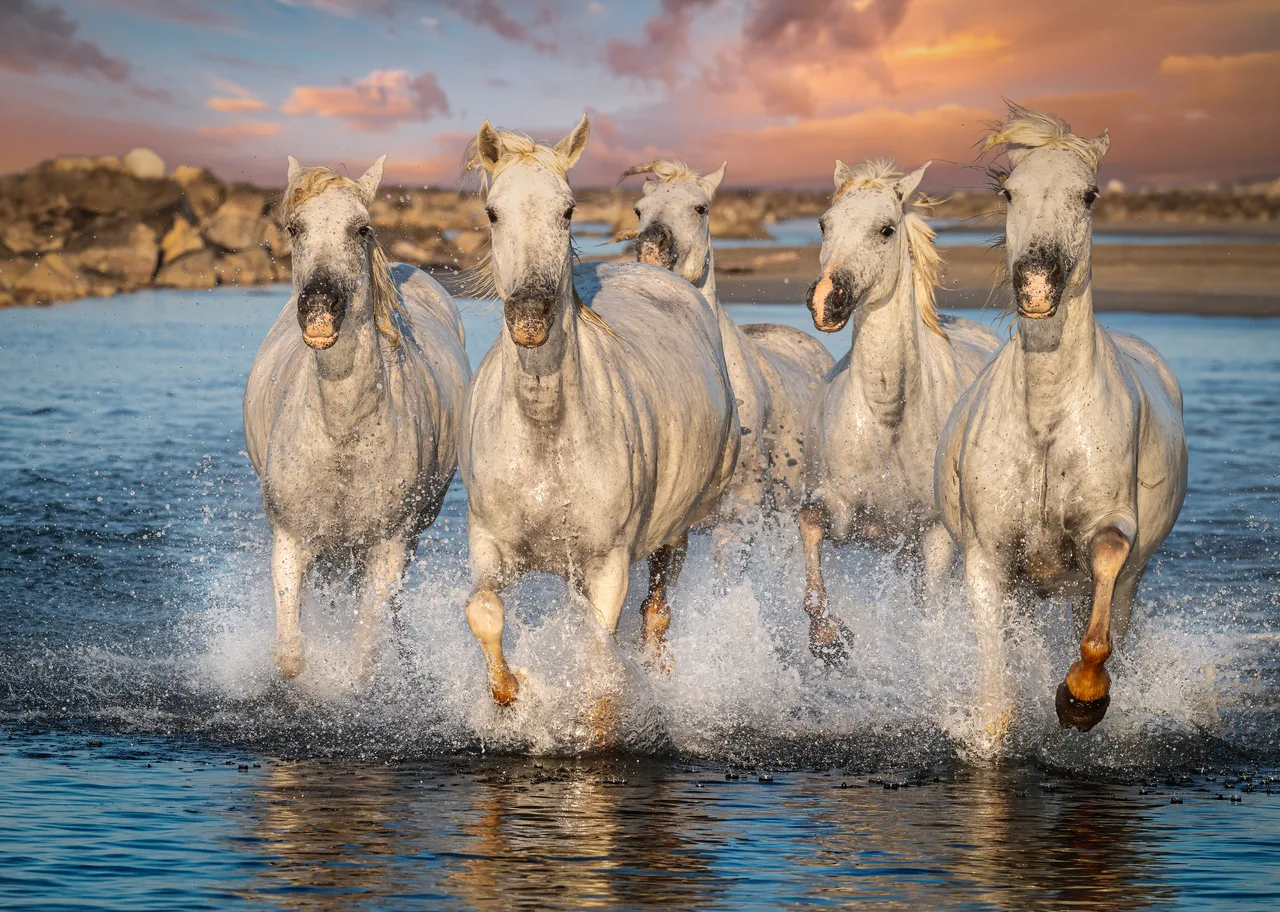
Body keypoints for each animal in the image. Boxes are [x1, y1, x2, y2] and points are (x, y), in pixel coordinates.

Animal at [243, 156, 471, 680]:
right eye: (294, 227)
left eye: (361, 228)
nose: (319, 310)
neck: (342, 431)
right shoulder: (290, 542)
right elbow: (291, 657)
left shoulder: (387, 546)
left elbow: (364, 659)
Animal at [458, 116, 739, 710]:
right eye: (492, 211)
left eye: (568, 210)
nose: (530, 319)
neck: (546, 429)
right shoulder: (489, 545)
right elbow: (485, 610)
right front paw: (511, 693)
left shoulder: (608, 566)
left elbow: (597, 664)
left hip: (677, 530)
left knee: (656, 613)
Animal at [799, 159, 999, 662]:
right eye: (824, 224)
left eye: (886, 229)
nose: (826, 300)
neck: (890, 417)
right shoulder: (843, 511)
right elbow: (810, 522)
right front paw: (827, 637)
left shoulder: (933, 537)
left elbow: (931, 612)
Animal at [936, 103, 1188, 751]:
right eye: (1008, 192)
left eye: (1090, 195)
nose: (1035, 285)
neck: (1046, 422)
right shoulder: (988, 558)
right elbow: (996, 695)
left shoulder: (1112, 528)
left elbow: (1100, 608)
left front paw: (1081, 698)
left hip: (1132, 580)